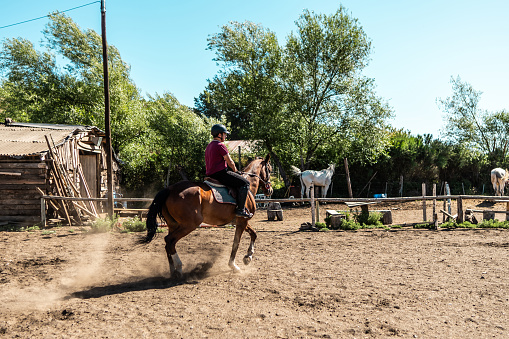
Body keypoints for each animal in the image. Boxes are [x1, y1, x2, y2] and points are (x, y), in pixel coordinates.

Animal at [141, 154, 272, 278]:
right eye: (270, 170)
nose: (270, 190)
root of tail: (170, 189)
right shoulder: (242, 221)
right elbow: (236, 243)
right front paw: (234, 265)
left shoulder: (241, 221)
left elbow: (254, 234)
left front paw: (248, 257)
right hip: (189, 225)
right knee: (169, 240)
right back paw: (178, 268)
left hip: (173, 225)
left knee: (168, 244)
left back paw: (172, 271)